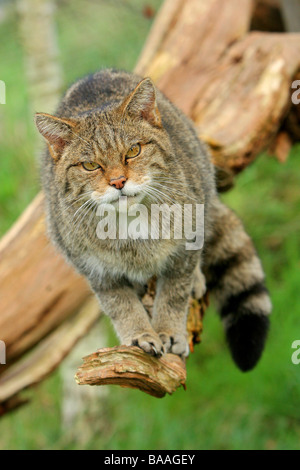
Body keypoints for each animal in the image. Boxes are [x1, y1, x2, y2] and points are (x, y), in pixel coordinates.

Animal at [35, 69, 272, 370]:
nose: (118, 181)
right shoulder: (95, 270)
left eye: (133, 151)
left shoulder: (184, 247)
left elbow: (174, 294)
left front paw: (169, 331)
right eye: (90, 166)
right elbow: (120, 306)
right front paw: (140, 335)